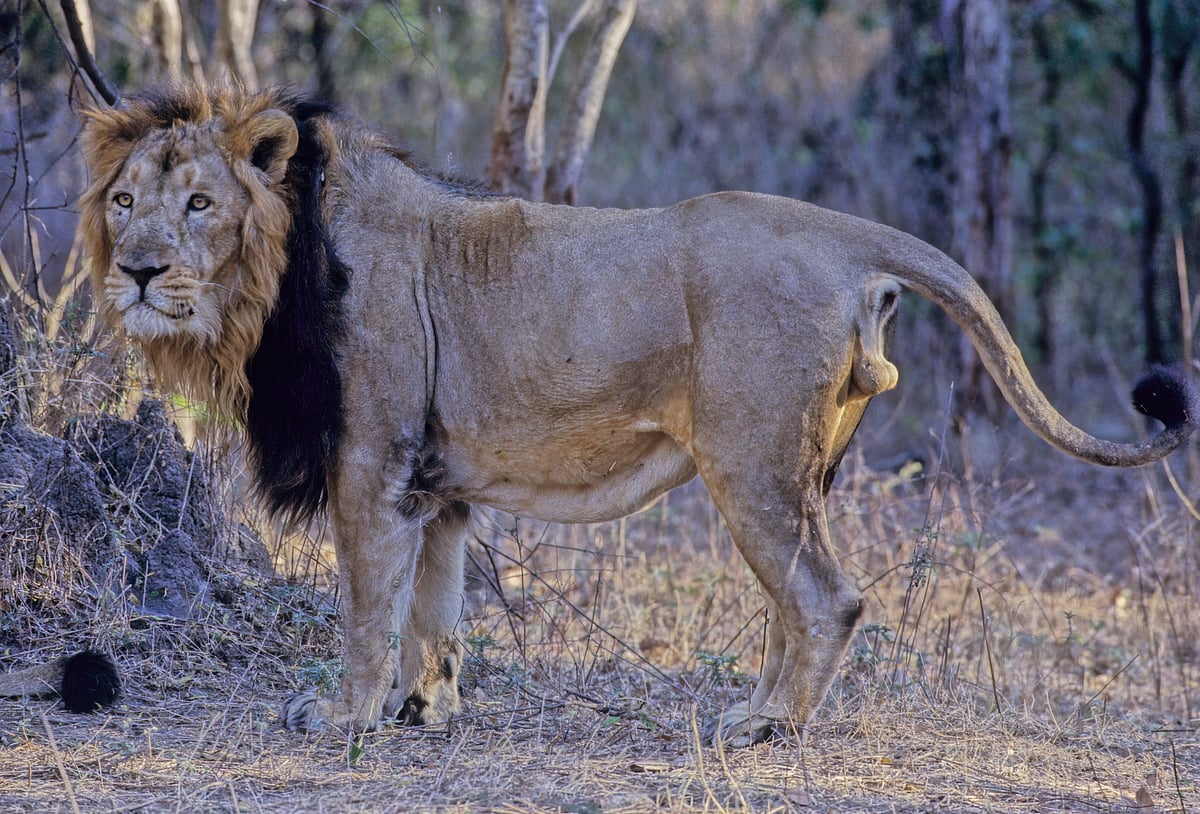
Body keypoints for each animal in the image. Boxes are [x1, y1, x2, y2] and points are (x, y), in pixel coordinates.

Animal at [75, 83, 1193, 746]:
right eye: (124, 201)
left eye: (200, 205)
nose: (137, 271)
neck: (273, 274)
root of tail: (843, 236)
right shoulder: (436, 481)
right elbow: (433, 610)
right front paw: (421, 707)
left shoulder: (372, 465)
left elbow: (364, 609)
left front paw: (343, 715)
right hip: (792, 468)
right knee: (797, 602)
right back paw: (755, 710)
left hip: (749, 461)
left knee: (828, 598)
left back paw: (768, 730)